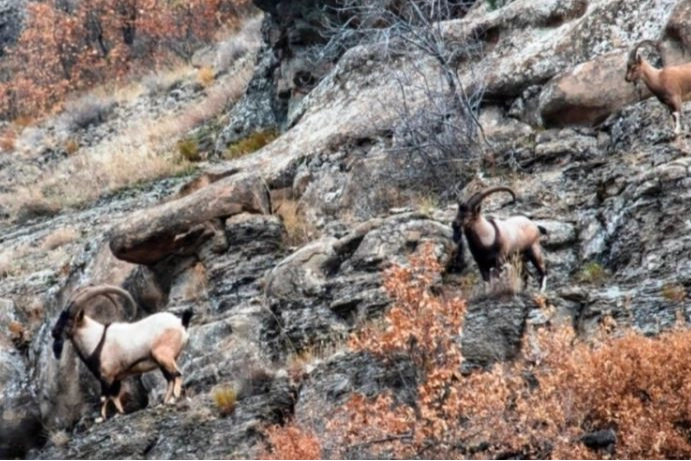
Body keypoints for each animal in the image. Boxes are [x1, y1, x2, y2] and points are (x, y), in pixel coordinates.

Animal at [51, 284, 193, 422]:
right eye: (60, 317)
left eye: (68, 320)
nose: (54, 332)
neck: (96, 341)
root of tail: (181, 324)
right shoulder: (116, 377)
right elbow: (115, 396)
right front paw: (120, 413)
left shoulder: (106, 376)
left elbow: (104, 397)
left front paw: (101, 418)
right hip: (163, 361)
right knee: (169, 378)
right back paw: (165, 401)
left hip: (164, 355)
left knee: (177, 374)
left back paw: (174, 398)